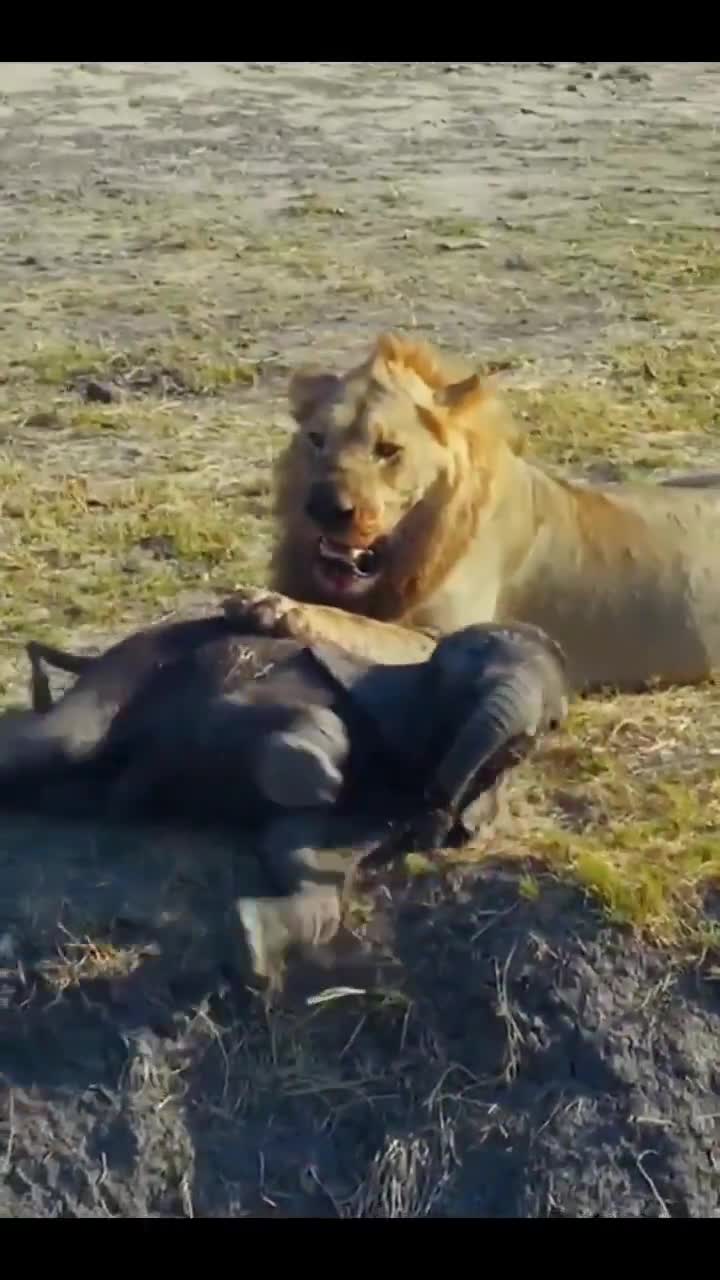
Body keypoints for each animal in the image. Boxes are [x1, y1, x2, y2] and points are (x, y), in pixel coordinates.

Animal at [262, 332, 720, 693]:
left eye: (388, 450)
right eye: (316, 439)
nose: (324, 506)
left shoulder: (443, 640)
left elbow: (360, 625)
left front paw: (280, 608)